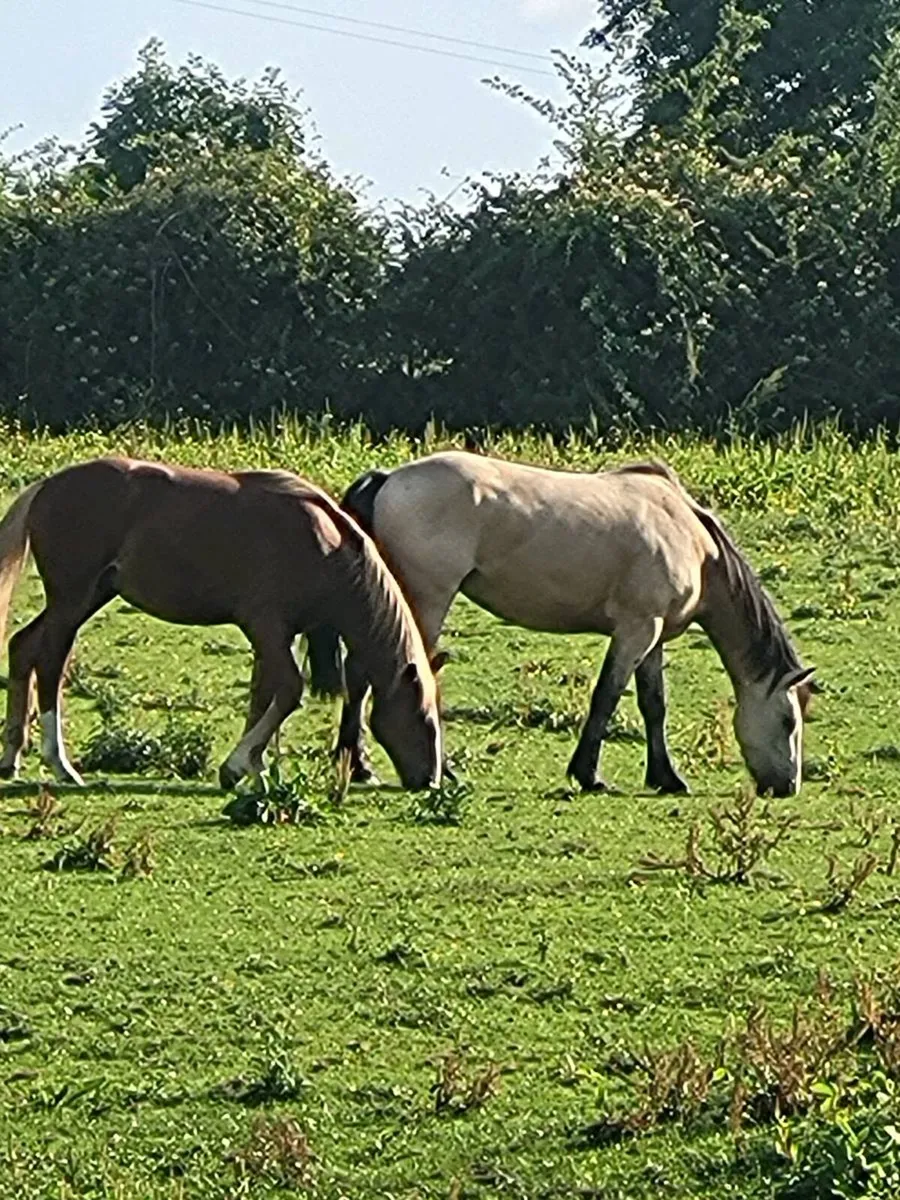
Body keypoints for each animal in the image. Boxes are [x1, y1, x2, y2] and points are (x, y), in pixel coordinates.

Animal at [0, 457, 442, 791]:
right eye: (423, 719)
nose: (430, 780)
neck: (324, 544)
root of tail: (47, 486)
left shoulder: (278, 637)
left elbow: (263, 695)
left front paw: (248, 769)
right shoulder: (267, 627)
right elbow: (288, 690)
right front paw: (241, 765)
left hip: (88, 597)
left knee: (23, 646)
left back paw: (12, 758)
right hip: (72, 600)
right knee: (51, 661)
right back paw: (60, 764)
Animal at [309, 452, 814, 798]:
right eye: (788, 720)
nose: (786, 786)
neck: (690, 536)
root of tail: (389, 479)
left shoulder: (652, 637)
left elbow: (654, 705)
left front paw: (666, 777)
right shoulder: (635, 630)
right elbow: (607, 696)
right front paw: (588, 775)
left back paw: (359, 765)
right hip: (425, 602)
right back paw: (430, 768)